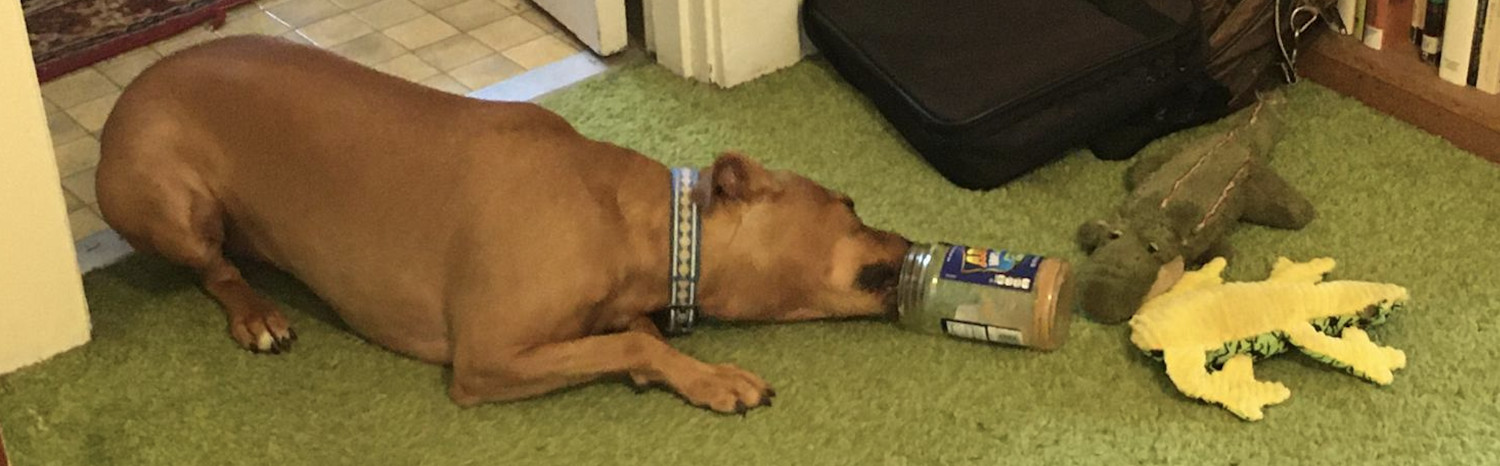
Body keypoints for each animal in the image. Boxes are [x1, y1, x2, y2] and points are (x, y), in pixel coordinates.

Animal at [96, 37, 912, 416]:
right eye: (849, 206)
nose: (909, 243)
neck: (637, 225)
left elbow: (634, 335)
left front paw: (685, 366)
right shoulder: (485, 359)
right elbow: (629, 341)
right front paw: (710, 375)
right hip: (168, 202)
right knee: (215, 267)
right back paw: (256, 313)